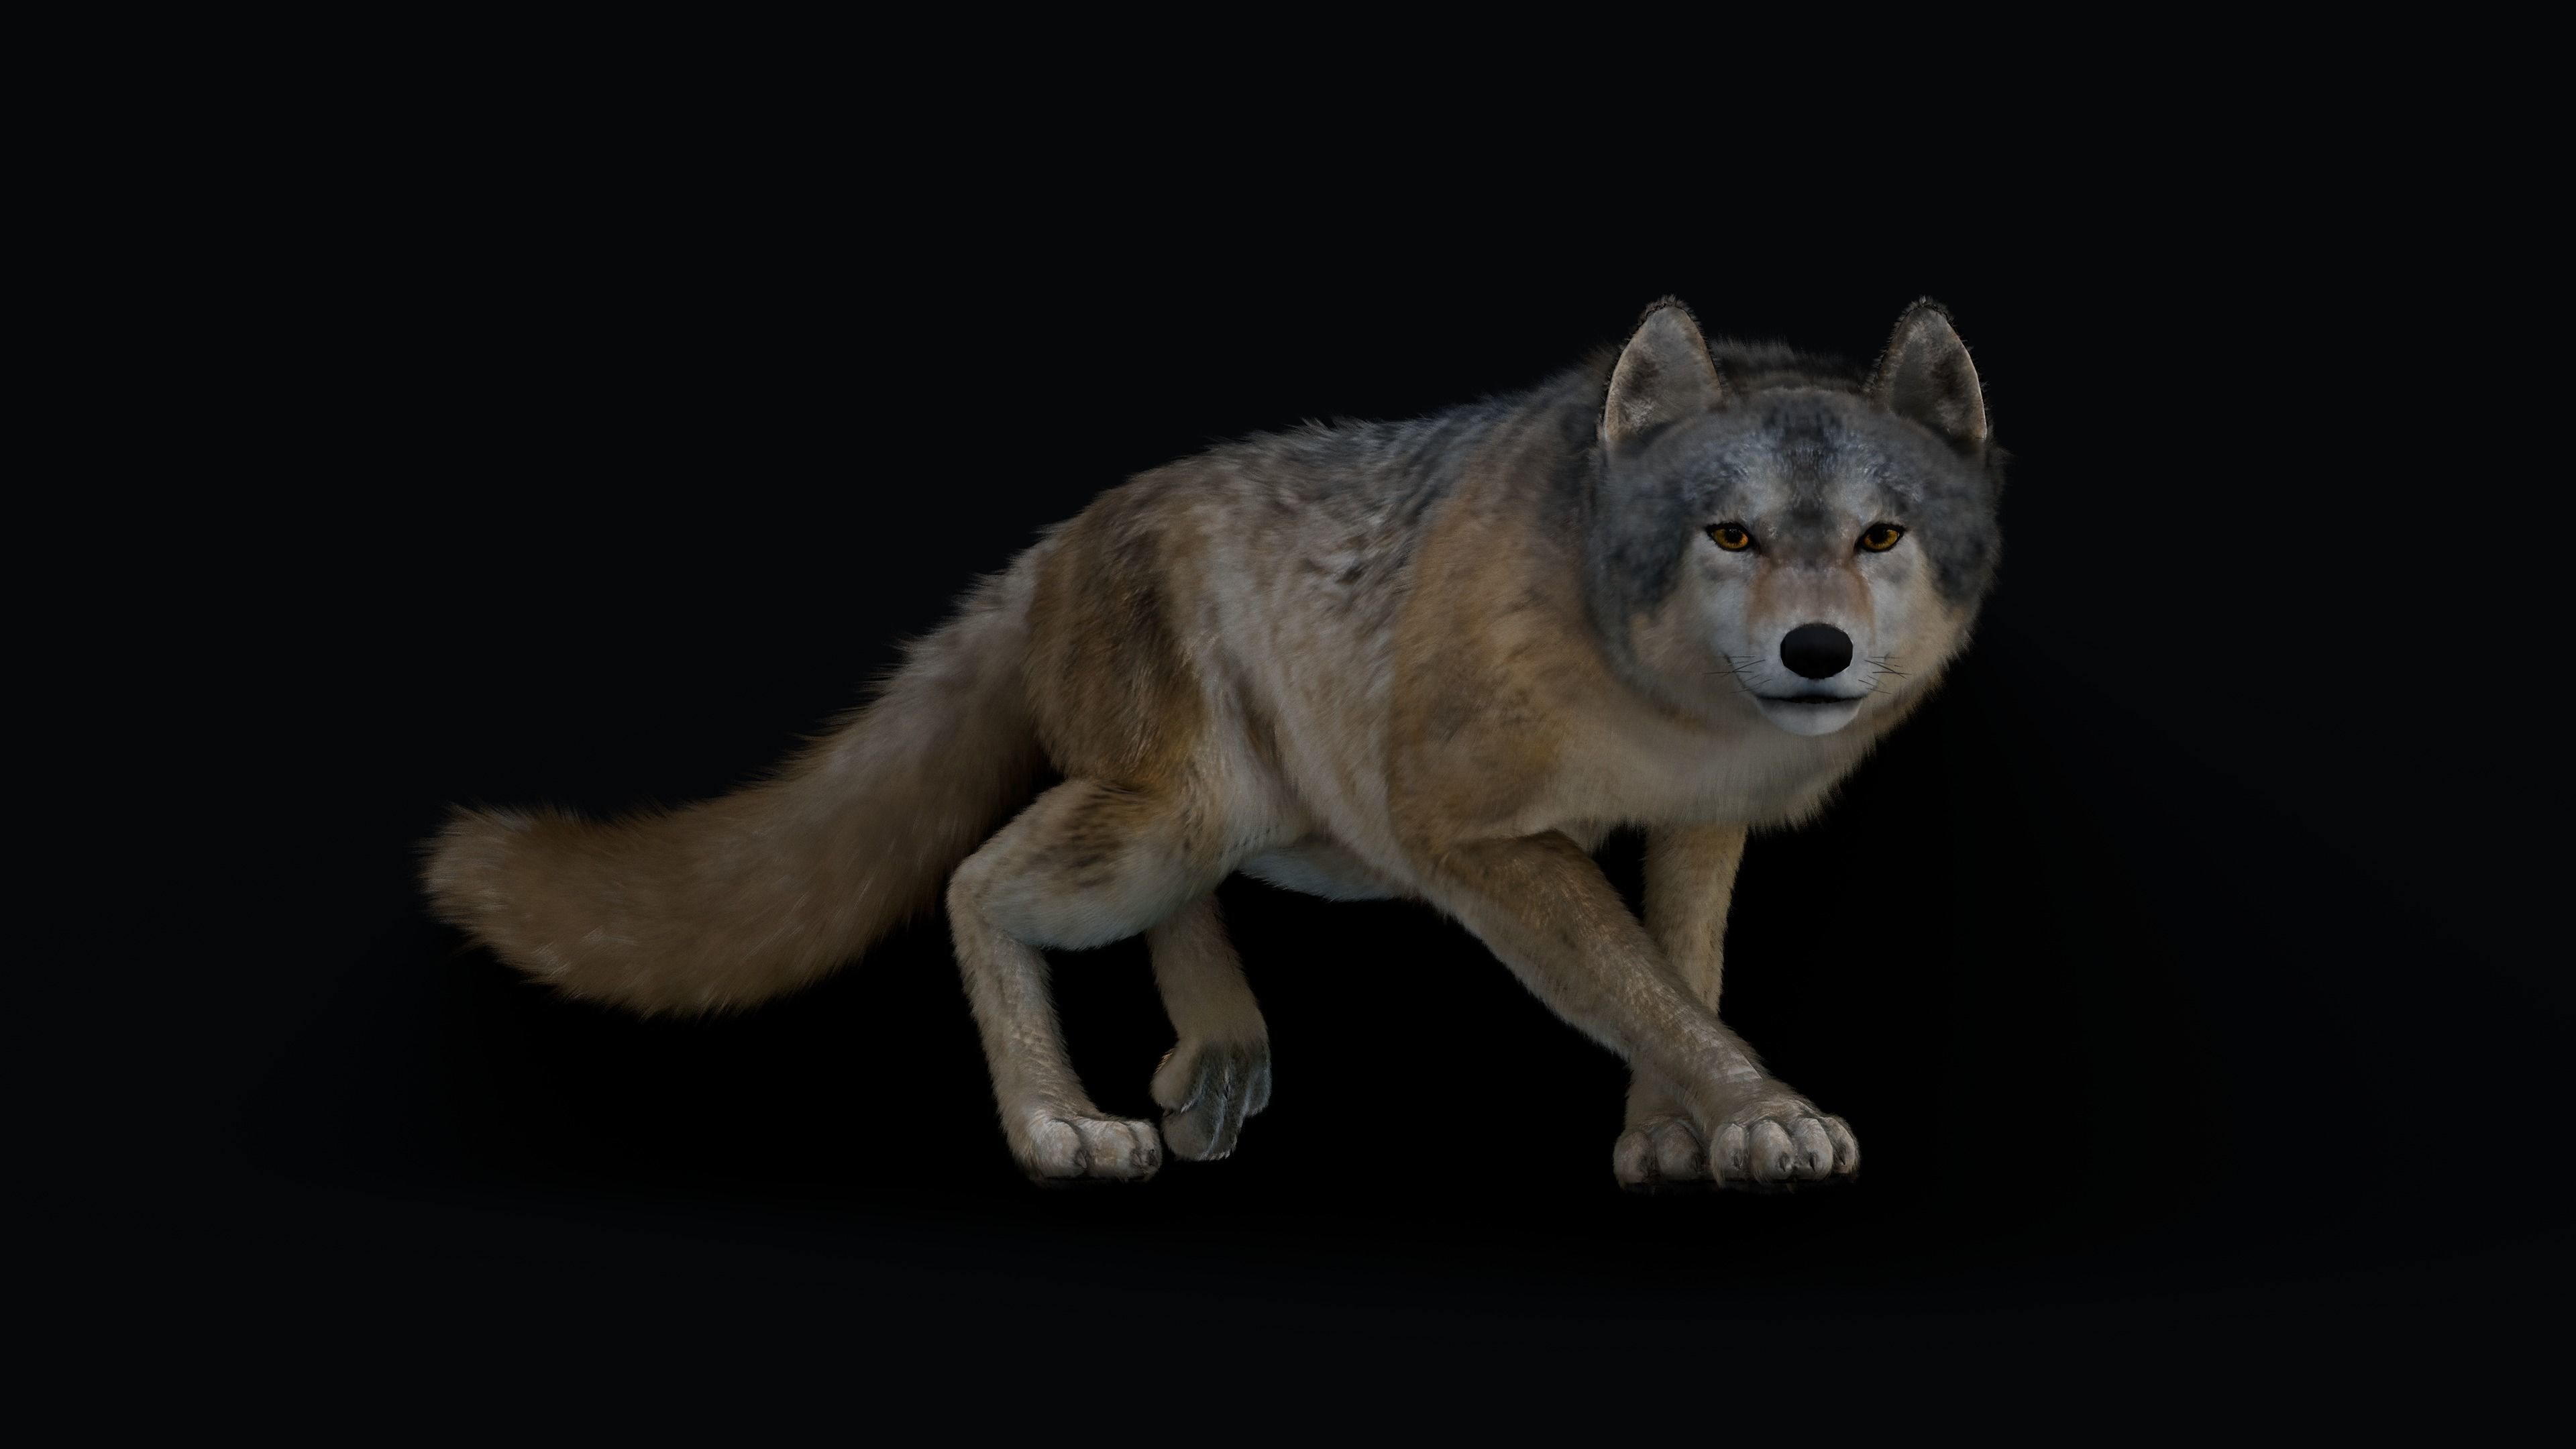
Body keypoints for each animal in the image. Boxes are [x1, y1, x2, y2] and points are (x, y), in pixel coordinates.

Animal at [423, 297, 2004, 1190]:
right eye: (1732, 536)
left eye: (1880, 538)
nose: (1818, 654)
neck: (1648, 699)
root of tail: (1055, 544)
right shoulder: (1473, 839)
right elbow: (1648, 995)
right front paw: (1758, 1115)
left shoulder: (1695, 825)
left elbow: (1683, 978)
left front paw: (1673, 1137)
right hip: (1173, 822)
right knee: (975, 884)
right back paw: (1057, 1128)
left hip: (1254, 830)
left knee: (1152, 903)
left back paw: (1225, 1042)